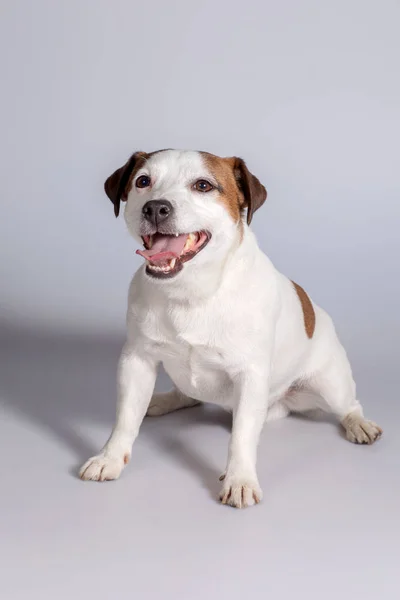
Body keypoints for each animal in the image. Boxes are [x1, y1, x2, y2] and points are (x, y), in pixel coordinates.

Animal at [79, 149, 382, 506]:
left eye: (203, 185)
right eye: (142, 181)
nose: (155, 207)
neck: (192, 289)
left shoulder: (249, 375)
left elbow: (241, 437)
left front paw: (240, 479)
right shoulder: (136, 360)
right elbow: (125, 418)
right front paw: (109, 457)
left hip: (330, 384)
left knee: (347, 404)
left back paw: (358, 423)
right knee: (188, 396)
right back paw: (161, 400)